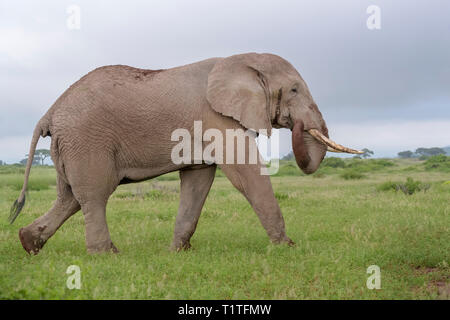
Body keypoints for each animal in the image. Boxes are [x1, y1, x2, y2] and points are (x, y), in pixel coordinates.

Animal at [9, 52, 362, 254]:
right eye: (294, 90)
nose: (298, 125)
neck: (240, 61)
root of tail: (49, 113)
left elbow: (198, 181)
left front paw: (178, 252)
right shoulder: (217, 117)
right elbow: (246, 173)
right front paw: (287, 248)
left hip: (69, 146)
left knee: (69, 197)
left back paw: (28, 243)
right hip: (87, 141)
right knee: (94, 195)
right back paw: (106, 255)